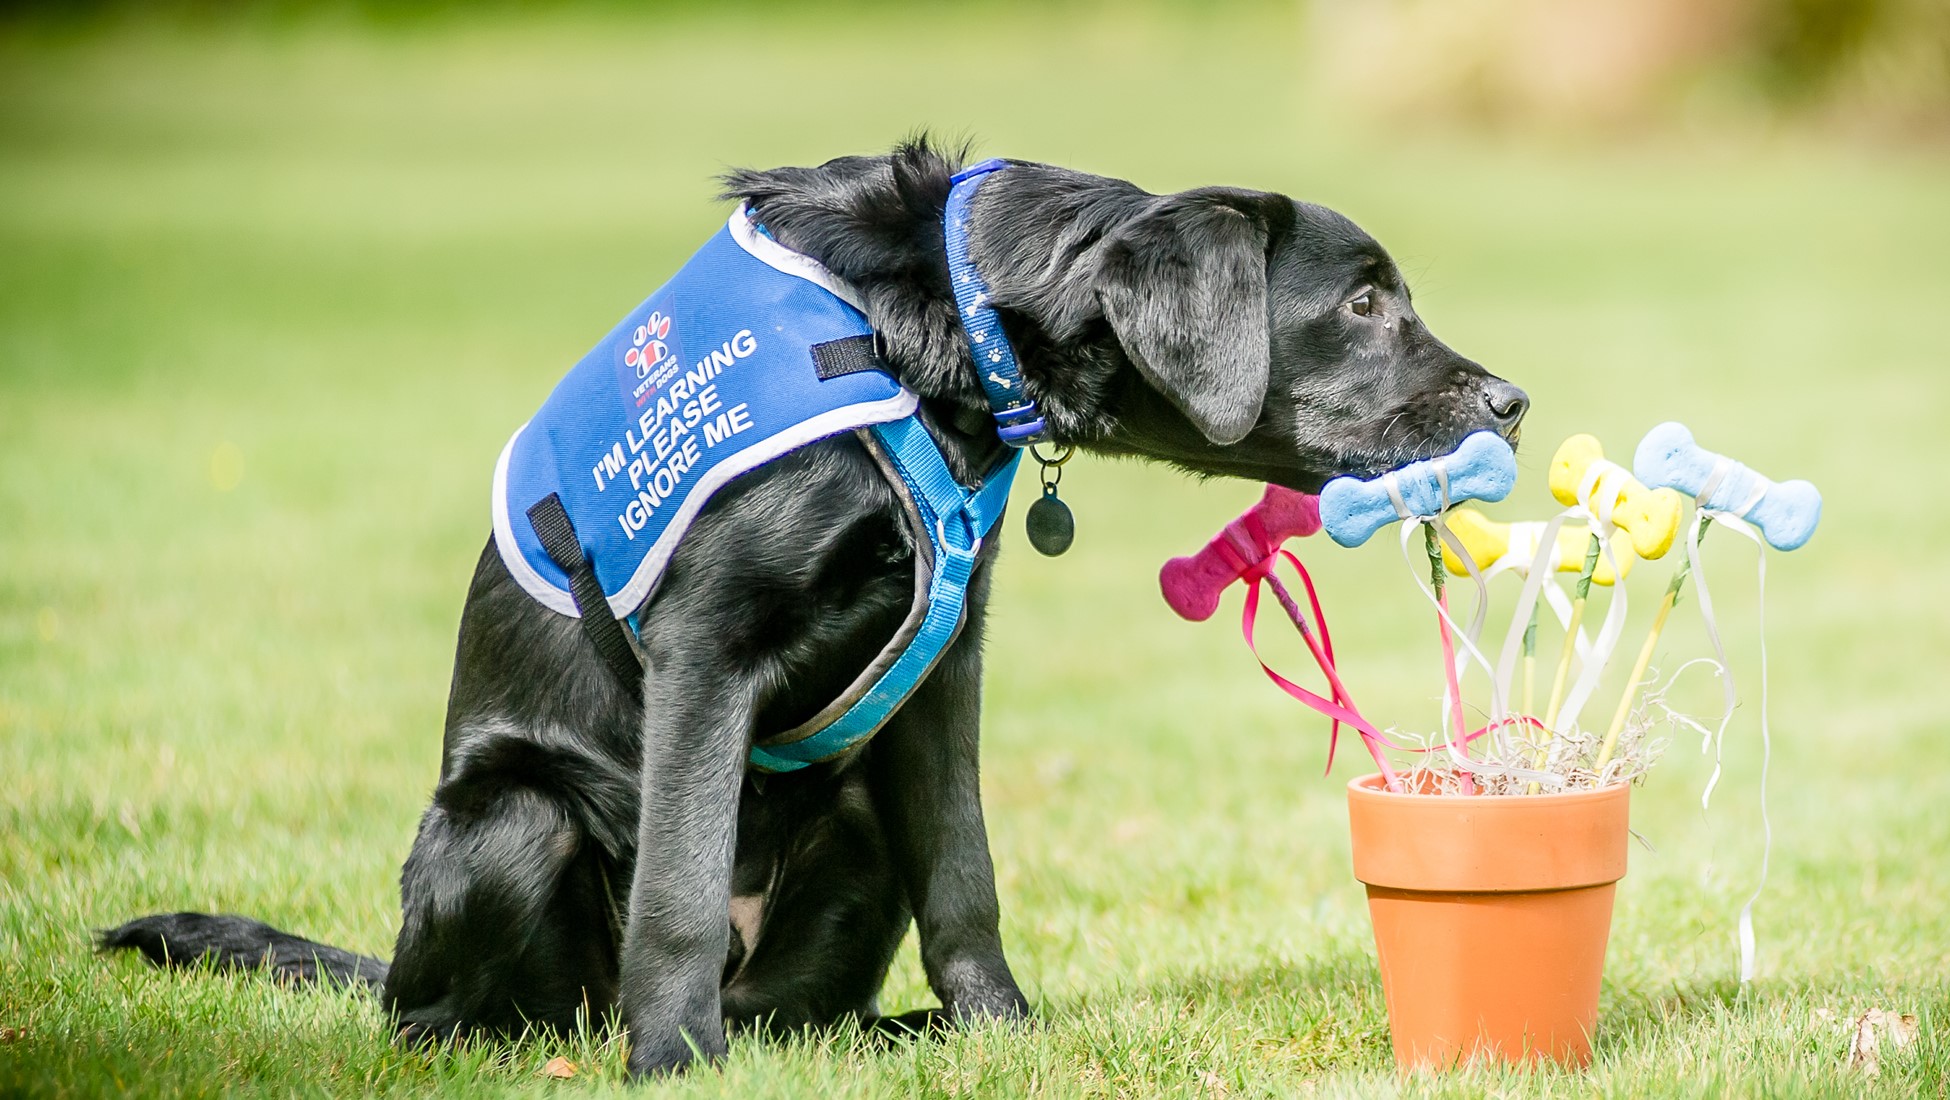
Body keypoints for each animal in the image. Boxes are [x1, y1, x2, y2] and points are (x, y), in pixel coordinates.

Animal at [106, 137, 1528, 1076]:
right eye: (1362, 302)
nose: (1512, 399)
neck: (932, 325)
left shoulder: (948, 661)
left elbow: (966, 873)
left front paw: (998, 1032)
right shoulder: (705, 645)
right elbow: (678, 887)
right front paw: (674, 1062)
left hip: (850, 818)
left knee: (810, 1001)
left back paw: (881, 1035)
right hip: (511, 816)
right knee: (461, 1010)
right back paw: (559, 1044)